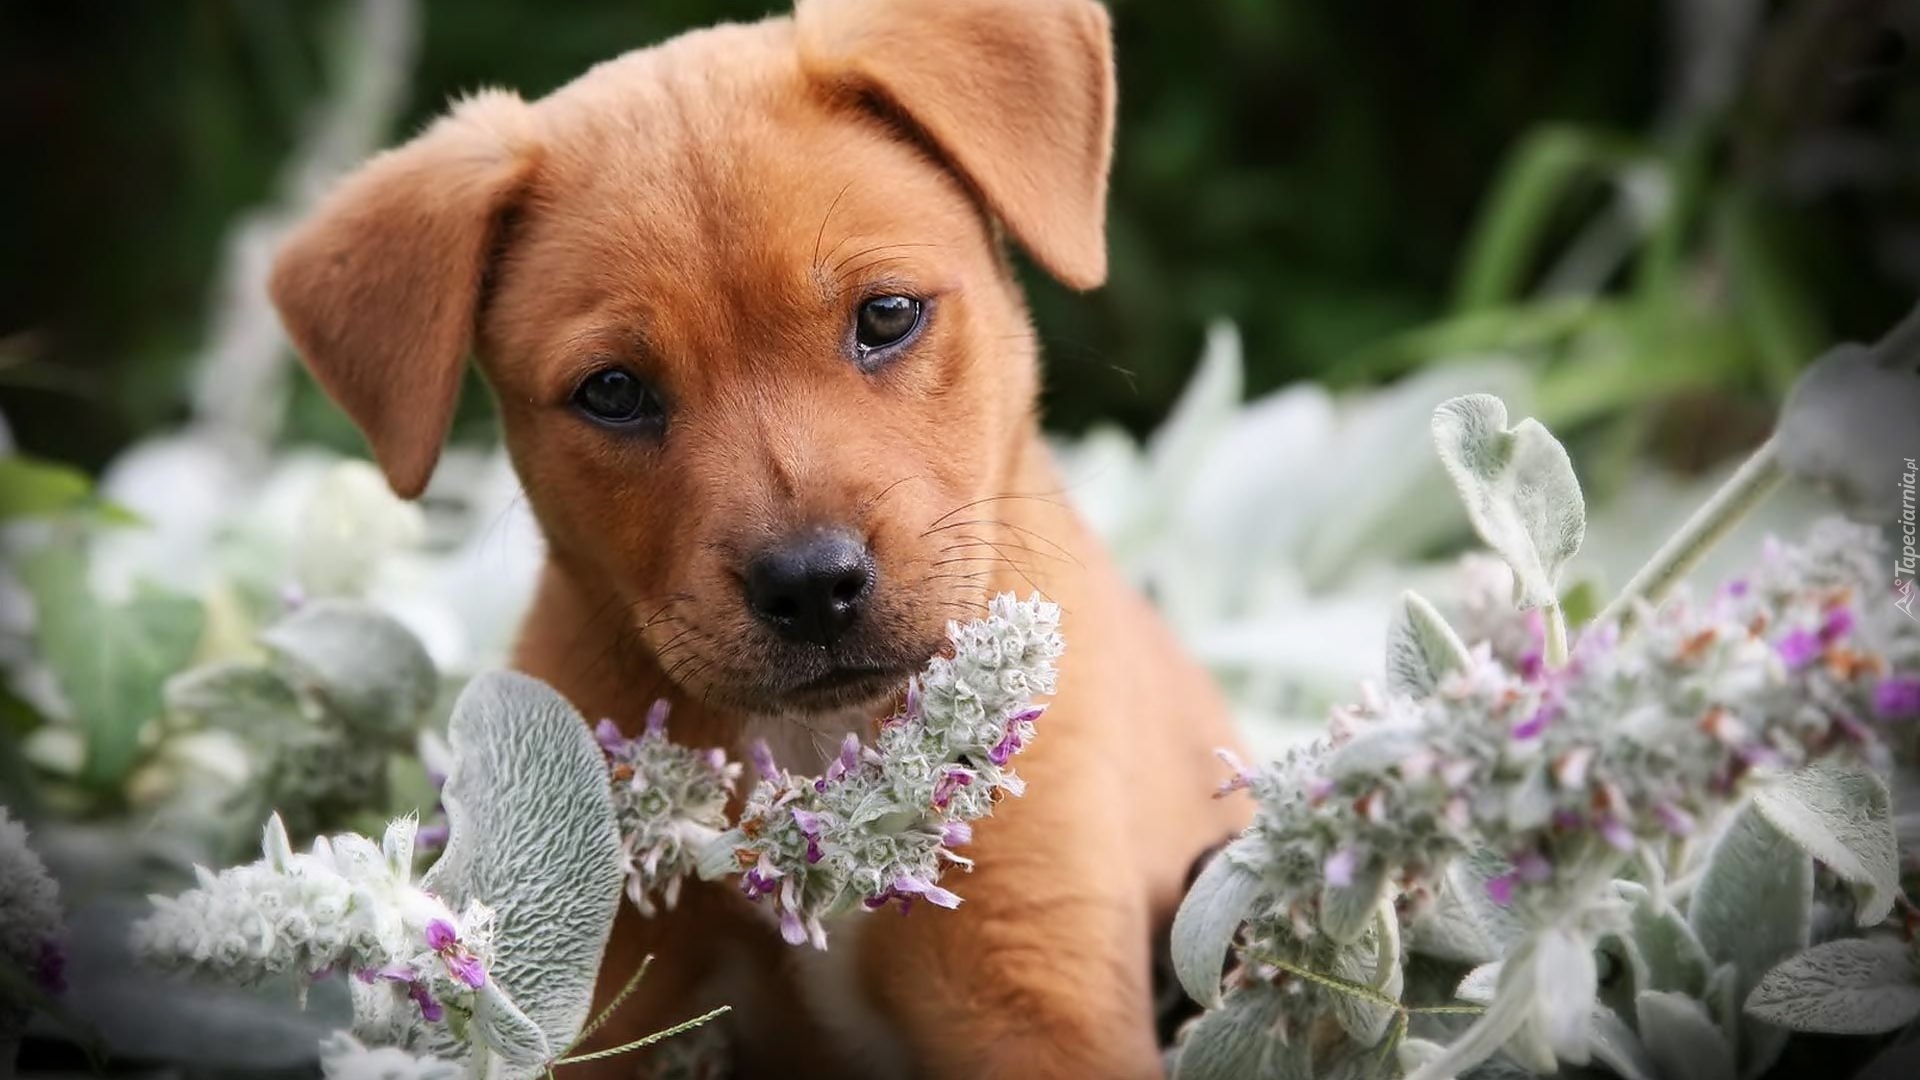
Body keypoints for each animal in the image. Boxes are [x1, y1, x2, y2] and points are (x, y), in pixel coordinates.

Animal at [278, 4, 1251, 1068]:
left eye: (887, 315)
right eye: (612, 391)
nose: (813, 585)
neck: (813, 744)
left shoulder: (1034, 992)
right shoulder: (602, 984)